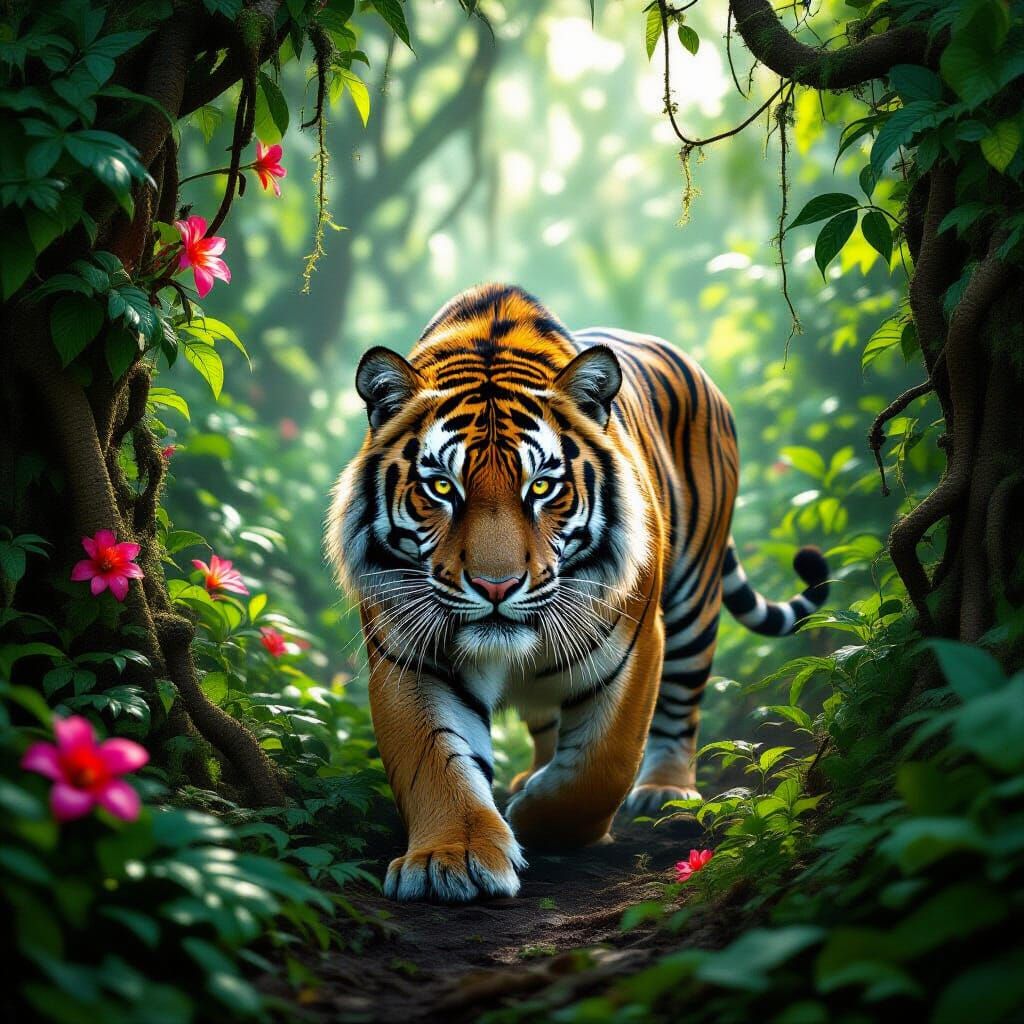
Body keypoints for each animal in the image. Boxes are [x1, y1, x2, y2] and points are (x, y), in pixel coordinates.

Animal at [327, 283, 829, 903]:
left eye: (542, 486)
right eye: (442, 487)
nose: (496, 585)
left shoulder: (634, 643)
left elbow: (600, 766)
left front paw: (538, 820)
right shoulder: (410, 652)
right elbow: (435, 759)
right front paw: (452, 858)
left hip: (694, 595)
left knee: (680, 703)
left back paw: (664, 789)